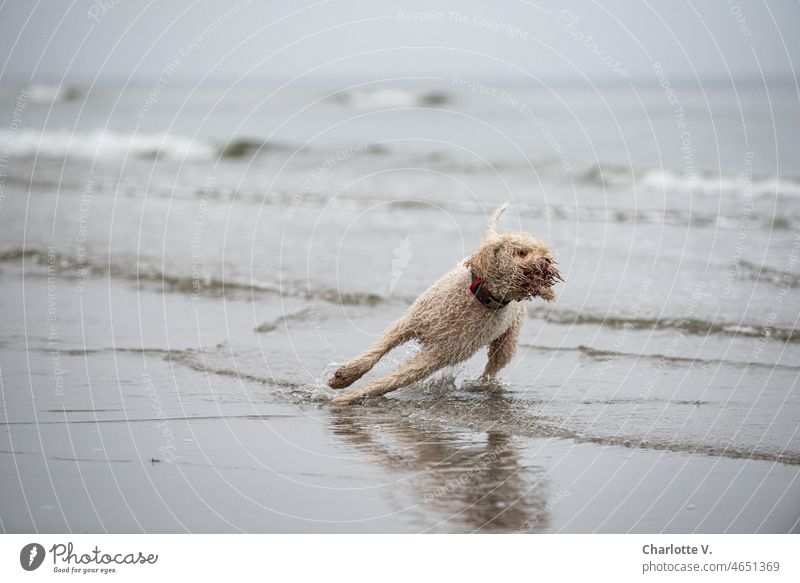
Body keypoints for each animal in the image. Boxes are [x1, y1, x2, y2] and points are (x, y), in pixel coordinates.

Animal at [326, 205, 564, 406]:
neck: (479, 296)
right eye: (521, 252)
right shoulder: (408, 323)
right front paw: (344, 378)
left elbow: (390, 381)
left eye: (544, 252)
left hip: (506, 344)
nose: (546, 262)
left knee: (491, 369)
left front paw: (350, 396)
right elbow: (372, 355)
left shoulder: (437, 356)